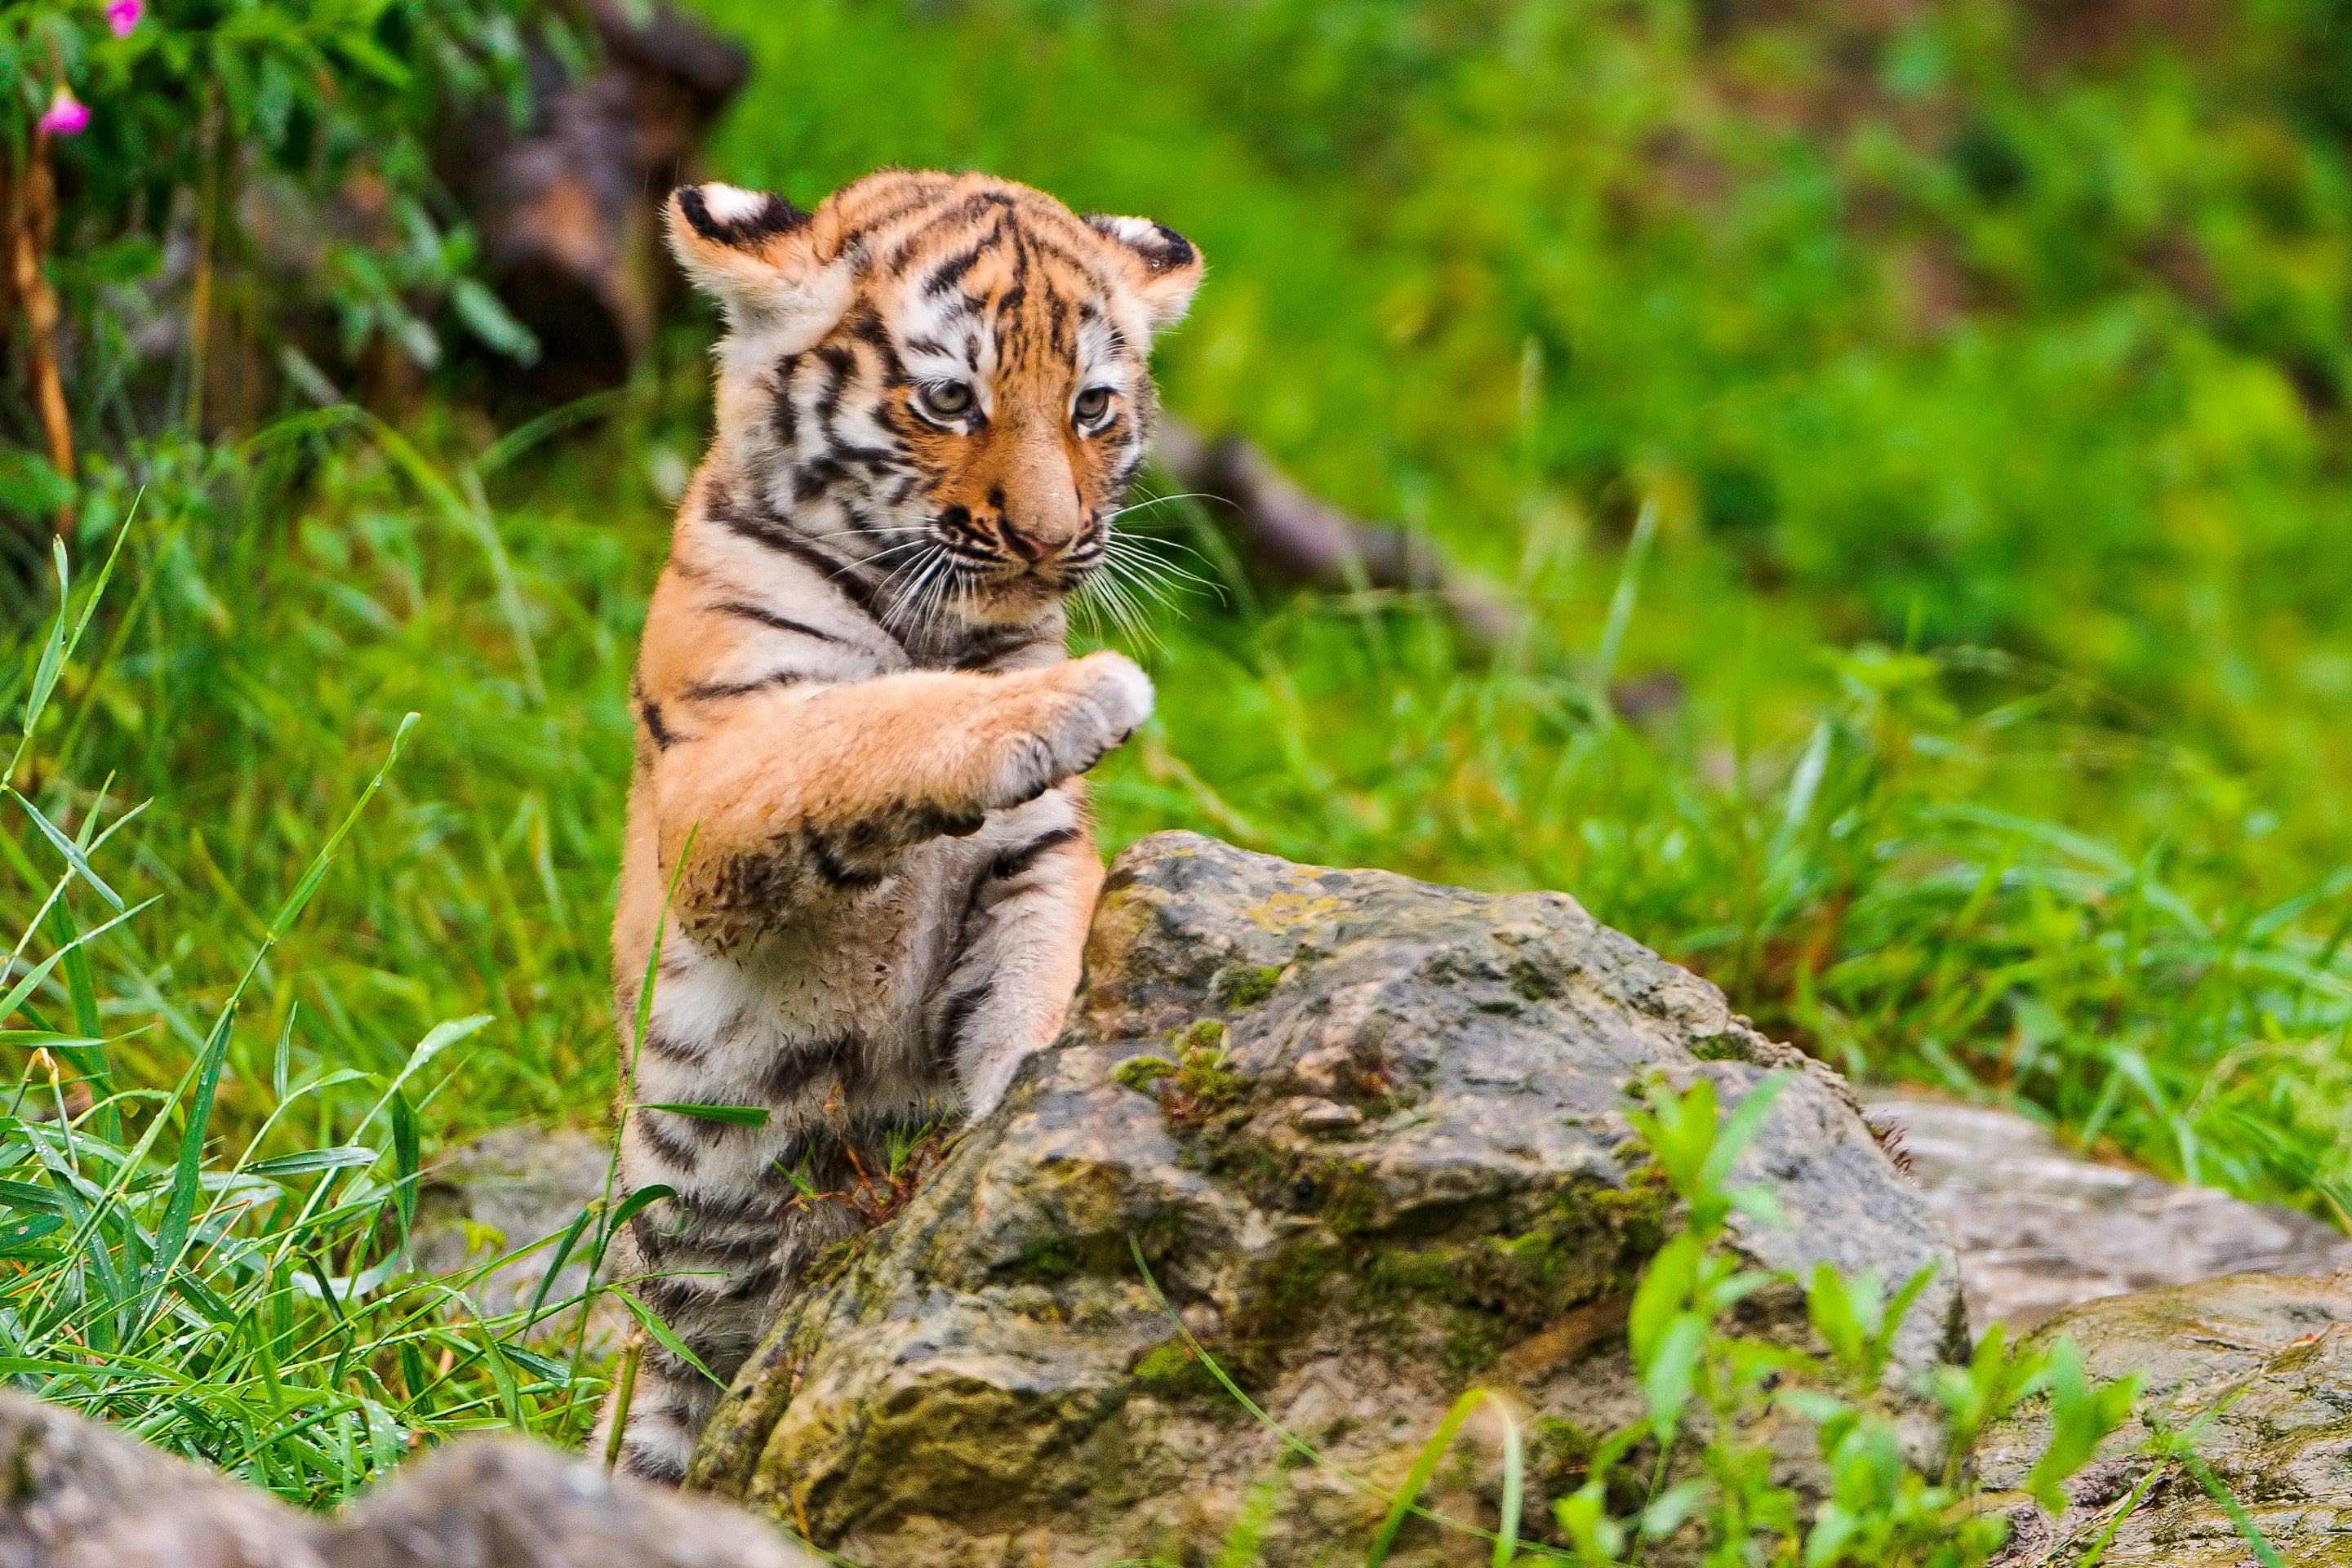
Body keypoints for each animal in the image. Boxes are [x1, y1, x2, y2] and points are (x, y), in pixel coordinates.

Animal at [593, 169, 1203, 1485]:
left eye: (1090, 406)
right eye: (948, 399)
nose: (1048, 538)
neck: (945, 628)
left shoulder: (1031, 863)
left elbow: (1038, 981)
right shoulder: (719, 783)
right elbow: (864, 726)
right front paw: (1079, 697)